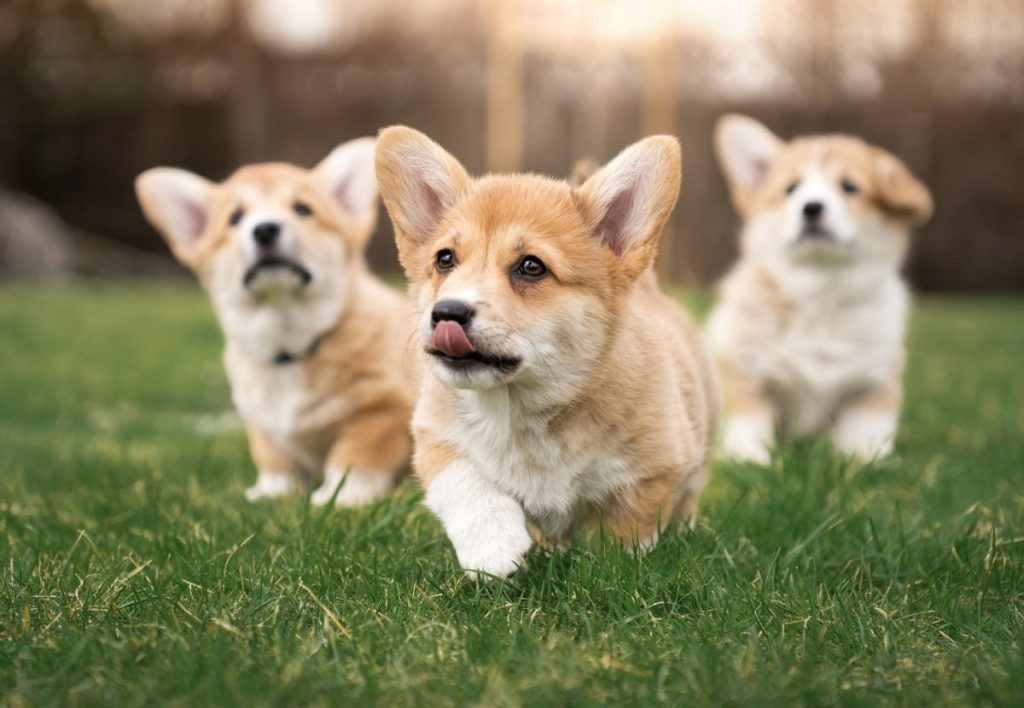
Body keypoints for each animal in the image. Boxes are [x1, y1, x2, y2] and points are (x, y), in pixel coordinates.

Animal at [135, 138, 415, 504]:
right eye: (235, 217)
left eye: (303, 209)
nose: (265, 229)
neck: (288, 340)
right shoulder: (263, 426)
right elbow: (274, 460)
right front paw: (271, 494)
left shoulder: (380, 413)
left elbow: (353, 458)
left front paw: (340, 497)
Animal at [376, 127, 720, 581]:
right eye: (445, 259)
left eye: (531, 267)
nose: (447, 312)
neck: (524, 408)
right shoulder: (435, 432)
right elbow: (464, 482)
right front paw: (492, 549)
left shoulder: (655, 468)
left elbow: (627, 532)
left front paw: (613, 569)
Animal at [708, 114, 933, 465]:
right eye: (790, 189)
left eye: (849, 187)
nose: (811, 208)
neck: (820, 293)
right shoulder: (746, 367)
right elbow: (750, 420)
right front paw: (747, 458)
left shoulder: (874, 379)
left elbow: (866, 429)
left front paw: (866, 459)